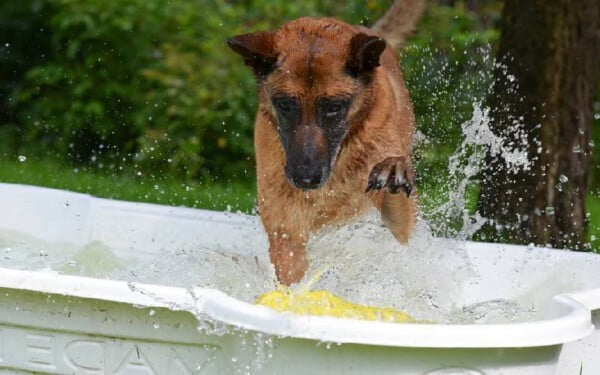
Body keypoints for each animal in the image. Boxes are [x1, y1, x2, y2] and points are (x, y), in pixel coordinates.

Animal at [227, 0, 424, 284]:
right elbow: (291, 274)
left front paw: (392, 168)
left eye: (334, 107)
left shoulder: (401, 225)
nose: (306, 178)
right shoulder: (286, 232)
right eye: (284, 104)